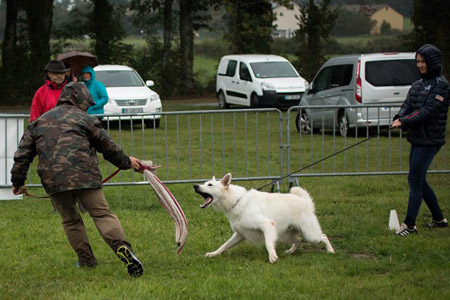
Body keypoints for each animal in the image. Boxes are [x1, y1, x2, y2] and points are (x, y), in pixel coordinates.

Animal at [193, 173, 334, 262]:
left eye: (210, 185)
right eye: (205, 183)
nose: (195, 186)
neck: (237, 201)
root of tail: (305, 201)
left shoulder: (267, 225)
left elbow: (268, 243)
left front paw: (272, 256)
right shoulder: (240, 234)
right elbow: (224, 246)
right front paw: (213, 254)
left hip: (310, 235)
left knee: (324, 236)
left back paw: (331, 251)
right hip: (284, 235)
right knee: (298, 240)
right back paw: (290, 252)